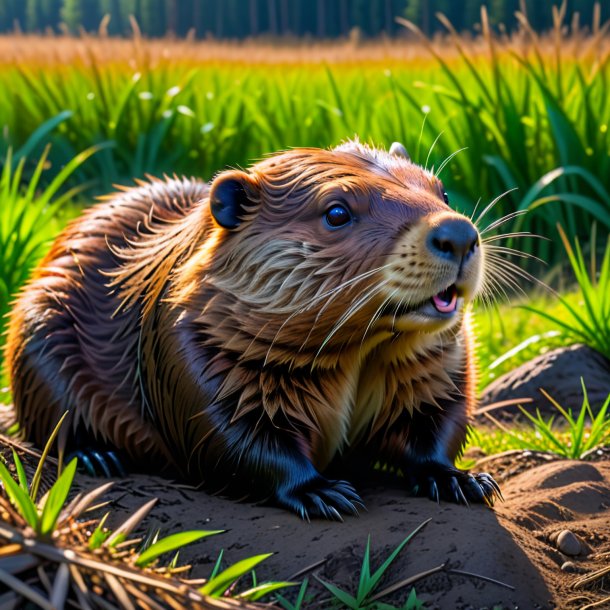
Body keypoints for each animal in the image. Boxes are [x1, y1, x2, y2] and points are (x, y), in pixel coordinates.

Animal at [5, 140, 498, 516]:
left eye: (443, 192)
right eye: (337, 212)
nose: (457, 234)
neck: (361, 352)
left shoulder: (440, 361)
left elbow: (440, 416)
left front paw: (464, 480)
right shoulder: (191, 348)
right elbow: (235, 439)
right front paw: (324, 493)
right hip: (40, 327)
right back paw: (99, 455)